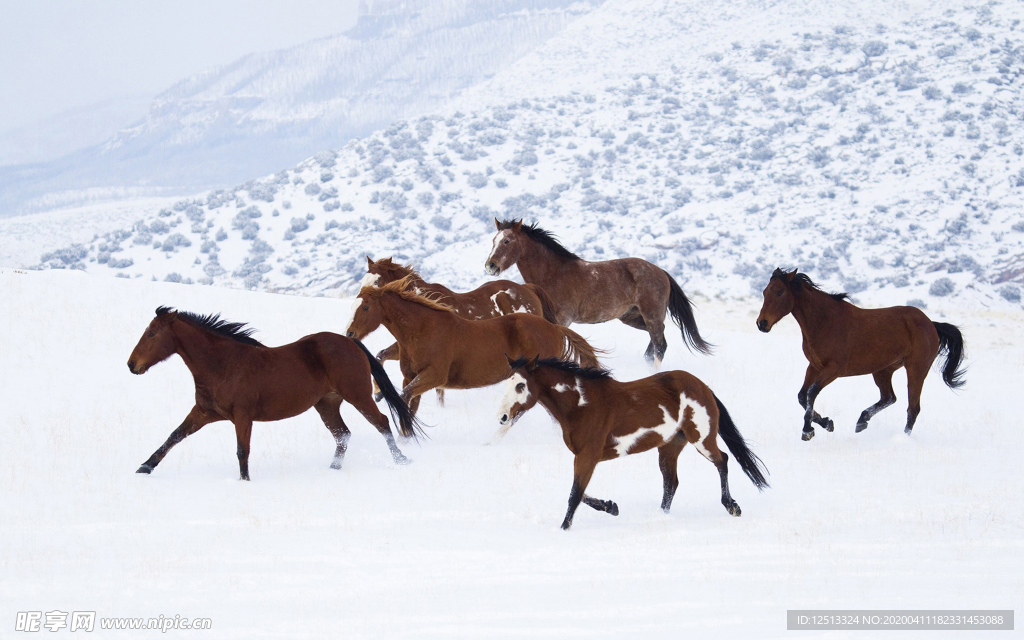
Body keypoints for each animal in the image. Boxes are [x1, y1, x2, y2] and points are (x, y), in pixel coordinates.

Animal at [128, 305, 419, 479]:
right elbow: (174, 435)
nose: (132, 365)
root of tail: (351, 342)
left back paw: (402, 460)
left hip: (358, 395)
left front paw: (244, 481)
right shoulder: (204, 412)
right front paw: (145, 466)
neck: (222, 364)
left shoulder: (242, 416)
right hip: (326, 404)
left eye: (152, 334)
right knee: (343, 434)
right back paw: (333, 469)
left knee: (381, 422)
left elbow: (242, 450)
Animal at [346, 276, 598, 419]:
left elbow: (404, 396)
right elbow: (407, 400)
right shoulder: (411, 376)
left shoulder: (434, 376)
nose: (349, 333)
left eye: (366, 307)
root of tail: (554, 328)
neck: (424, 330)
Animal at [481, 218, 712, 364]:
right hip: (632, 317)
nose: (490, 266)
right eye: (493, 241)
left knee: (660, 345)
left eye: (507, 241)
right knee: (655, 343)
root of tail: (661, 272)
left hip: (651, 315)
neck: (553, 273)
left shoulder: (563, 319)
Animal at [495, 354, 770, 528]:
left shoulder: (588, 456)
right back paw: (661, 516)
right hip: (670, 446)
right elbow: (580, 493)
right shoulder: (585, 457)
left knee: (722, 460)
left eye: (521, 385)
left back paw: (732, 506)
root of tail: (702, 386)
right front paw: (611, 506)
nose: (503, 417)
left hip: (701, 438)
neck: (582, 405)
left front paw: (565, 528)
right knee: (671, 483)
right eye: (506, 384)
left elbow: (574, 495)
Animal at [753, 268, 966, 438]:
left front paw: (808, 430)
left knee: (912, 408)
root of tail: (931, 324)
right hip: (883, 370)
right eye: (764, 292)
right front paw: (826, 423)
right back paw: (862, 421)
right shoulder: (814, 366)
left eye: (779, 292)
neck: (824, 321)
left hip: (916, 369)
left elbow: (812, 393)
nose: (762, 323)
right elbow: (802, 396)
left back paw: (903, 437)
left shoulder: (833, 369)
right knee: (889, 397)